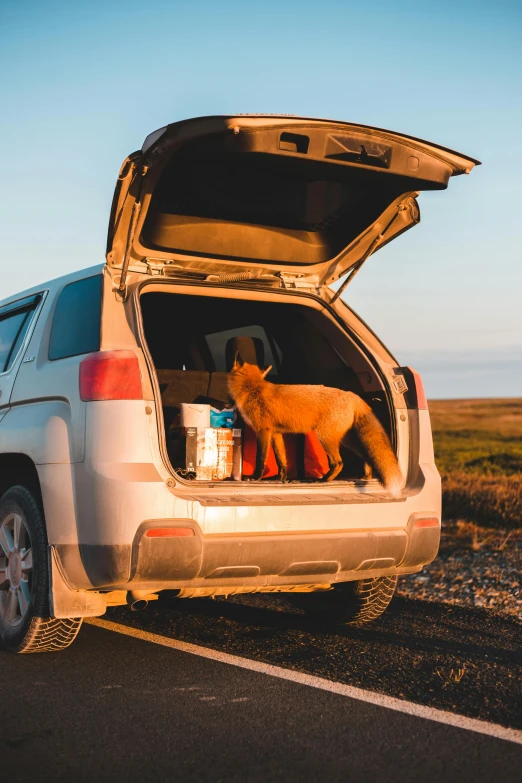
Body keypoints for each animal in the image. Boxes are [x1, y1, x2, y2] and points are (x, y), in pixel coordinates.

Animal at [228, 356, 402, 494]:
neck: (253, 387)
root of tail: (351, 394)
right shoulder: (276, 433)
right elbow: (281, 459)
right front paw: (279, 478)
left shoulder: (263, 431)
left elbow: (261, 458)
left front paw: (256, 477)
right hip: (346, 440)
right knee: (365, 455)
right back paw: (365, 476)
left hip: (325, 437)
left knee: (339, 462)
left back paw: (324, 480)